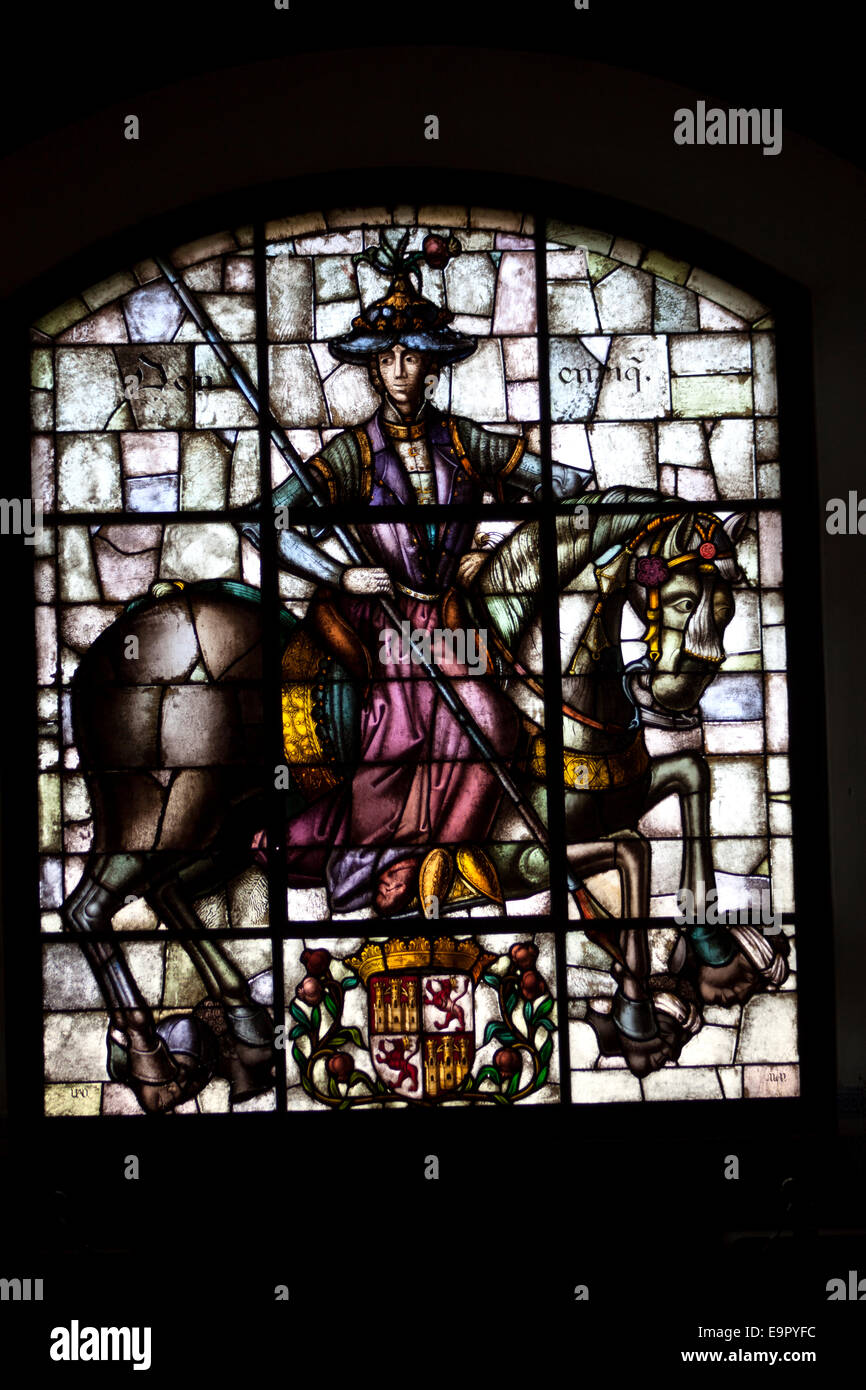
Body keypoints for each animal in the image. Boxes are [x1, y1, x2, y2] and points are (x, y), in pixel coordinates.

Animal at [59, 494, 795, 1112]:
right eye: (678, 599)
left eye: (728, 605)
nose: (676, 695)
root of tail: (118, 636)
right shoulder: (517, 856)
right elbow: (635, 852)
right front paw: (640, 1022)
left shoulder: (624, 794)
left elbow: (691, 779)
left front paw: (719, 960)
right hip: (169, 807)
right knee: (87, 907)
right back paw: (155, 1063)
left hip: (228, 824)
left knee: (163, 892)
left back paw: (245, 1031)